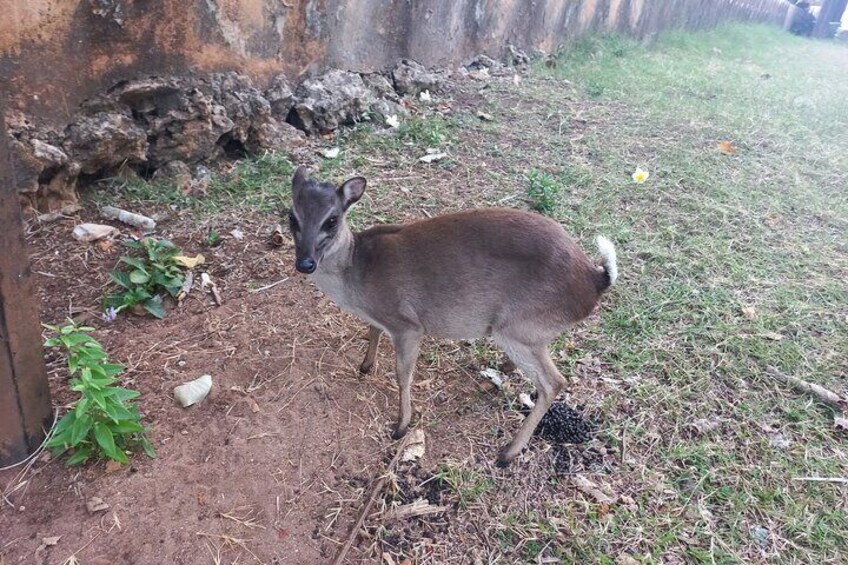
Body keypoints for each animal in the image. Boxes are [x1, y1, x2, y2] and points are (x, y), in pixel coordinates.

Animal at [290, 165, 616, 464]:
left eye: (332, 220)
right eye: (292, 216)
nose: (305, 263)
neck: (356, 274)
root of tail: (596, 280)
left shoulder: (408, 323)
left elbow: (403, 374)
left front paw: (401, 426)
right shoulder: (382, 319)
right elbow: (372, 332)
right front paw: (366, 365)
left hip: (518, 327)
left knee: (554, 382)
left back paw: (507, 453)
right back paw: (503, 369)